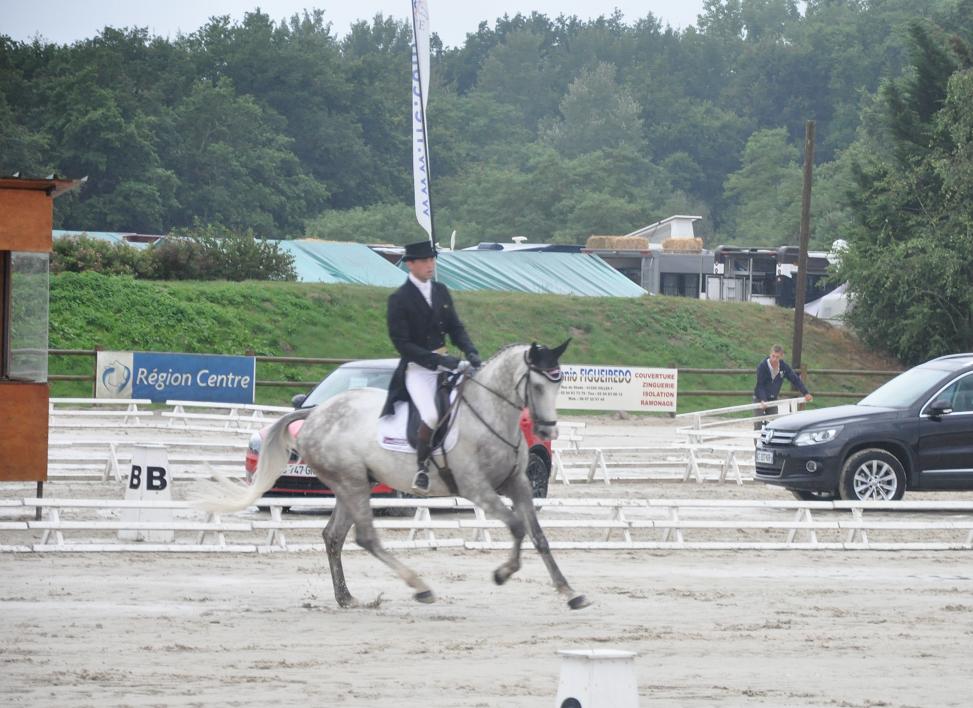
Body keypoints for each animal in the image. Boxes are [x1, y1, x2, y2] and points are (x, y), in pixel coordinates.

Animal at [199, 342, 584, 608]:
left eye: (559, 384)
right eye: (537, 387)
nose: (548, 430)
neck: (489, 415)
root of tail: (315, 413)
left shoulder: (517, 484)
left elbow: (538, 535)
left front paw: (569, 591)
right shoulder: (477, 488)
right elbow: (517, 526)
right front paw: (502, 574)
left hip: (352, 484)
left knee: (334, 536)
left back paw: (347, 597)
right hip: (353, 482)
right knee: (366, 538)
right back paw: (419, 586)